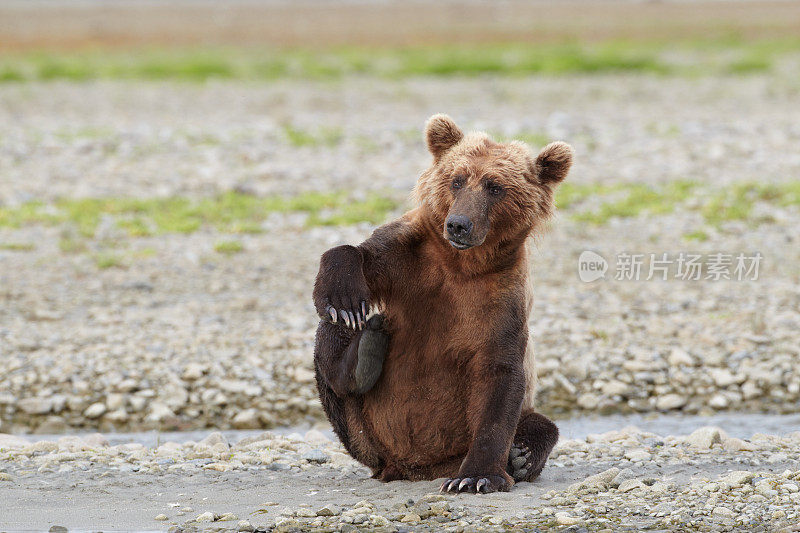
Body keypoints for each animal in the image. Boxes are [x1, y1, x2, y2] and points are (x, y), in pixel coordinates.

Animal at [310, 114, 568, 492]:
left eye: (495, 187)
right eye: (457, 180)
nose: (459, 224)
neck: (460, 265)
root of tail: (414, 467)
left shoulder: (501, 295)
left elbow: (500, 374)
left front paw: (476, 477)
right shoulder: (409, 257)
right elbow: (359, 258)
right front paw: (344, 300)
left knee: (540, 422)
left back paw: (522, 454)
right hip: (364, 435)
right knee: (334, 340)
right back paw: (363, 355)